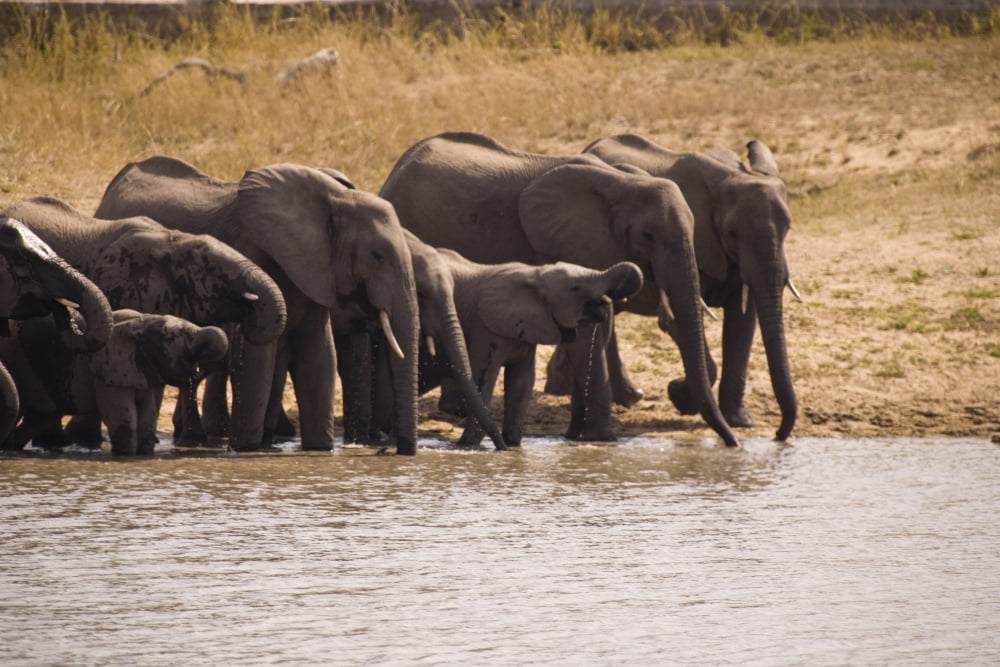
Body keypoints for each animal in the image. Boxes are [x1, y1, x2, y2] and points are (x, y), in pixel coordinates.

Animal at [0, 309, 229, 456]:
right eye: (172, 338)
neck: (141, 322)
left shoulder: (140, 369)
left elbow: (148, 415)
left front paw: (144, 454)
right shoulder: (106, 368)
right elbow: (123, 416)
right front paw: (126, 455)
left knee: (39, 417)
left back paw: (13, 448)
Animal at [94, 157, 421, 454]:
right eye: (378, 256)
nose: (391, 450)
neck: (335, 199)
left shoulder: (315, 270)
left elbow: (318, 354)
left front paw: (319, 450)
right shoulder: (256, 249)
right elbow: (257, 359)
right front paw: (247, 450)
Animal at [380, 132, 740, 447]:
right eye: (648, 235)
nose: (733, 443)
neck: (622, 183)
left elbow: (594, 327)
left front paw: (575, 436)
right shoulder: (560, 243)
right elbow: (585, 332)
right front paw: (601, 439)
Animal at [583, 134, 798, 440]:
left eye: (788, 229)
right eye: (732, 233)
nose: (778, 436)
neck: (730, 178)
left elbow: (743, 322)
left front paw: (740, 421)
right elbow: (679, 317)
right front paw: (680, 397)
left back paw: (628, 397)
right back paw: (629, 397)